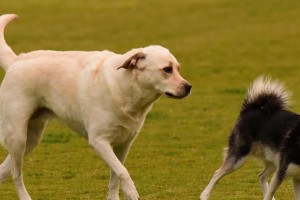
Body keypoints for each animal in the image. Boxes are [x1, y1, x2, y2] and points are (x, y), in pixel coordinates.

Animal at [0, 14, 192, 200]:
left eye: (178, 68)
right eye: (167, 69)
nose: (188, 87)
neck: (126, 88)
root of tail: (17, 60)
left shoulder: (123, 145)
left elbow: (115, 177)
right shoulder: (99, 141)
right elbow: (123, 171)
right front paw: (131, 192)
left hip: (31, 138)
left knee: (4, 170)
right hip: (18, 137)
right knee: (16, 174)